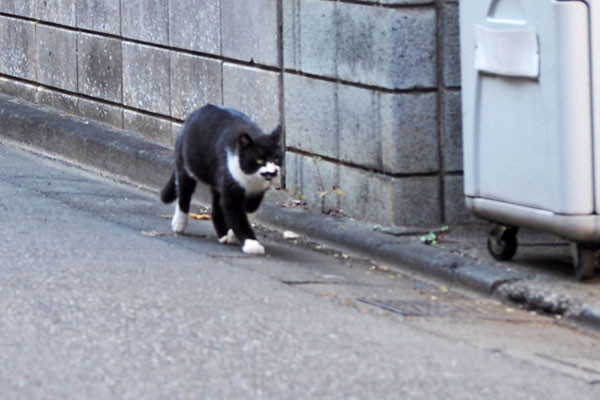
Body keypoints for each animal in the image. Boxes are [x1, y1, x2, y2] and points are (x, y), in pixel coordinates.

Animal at [159, 103, 282, 253]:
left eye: (276, 159)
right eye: (259, 160)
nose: (273, 171)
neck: (250, 179)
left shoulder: (256, 194)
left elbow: (248, 213)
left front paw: (233, 236)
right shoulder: (230, 185)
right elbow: (237, 216)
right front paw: (252, 244)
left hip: (216, 181)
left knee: (216, 207)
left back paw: (223, 235)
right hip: (187, 167)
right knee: (184, 193)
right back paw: (179, 223)